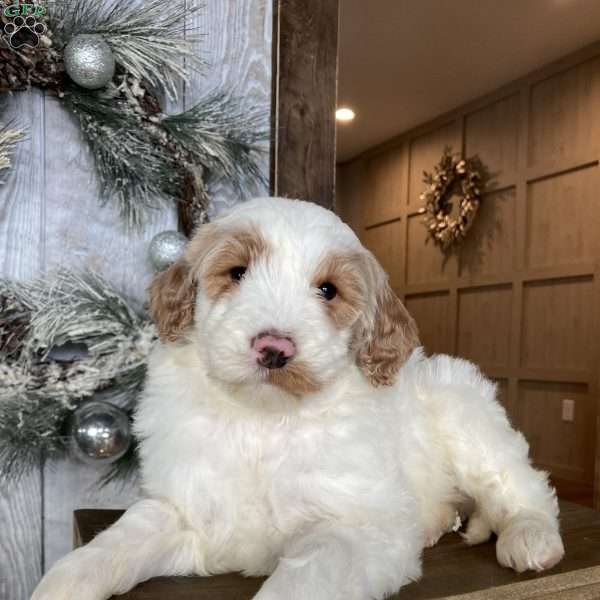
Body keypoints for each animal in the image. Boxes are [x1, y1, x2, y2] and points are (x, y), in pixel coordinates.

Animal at [32, 198, 564, 600]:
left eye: (328, 290)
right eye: (237, 272)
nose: (274, 348)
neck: (261, 420)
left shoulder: (353, 527)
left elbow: (307, 576)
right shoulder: (185, 507)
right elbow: (125, 536)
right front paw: (66, 579)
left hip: (466, 412)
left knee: (521, 484)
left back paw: (531, 536)